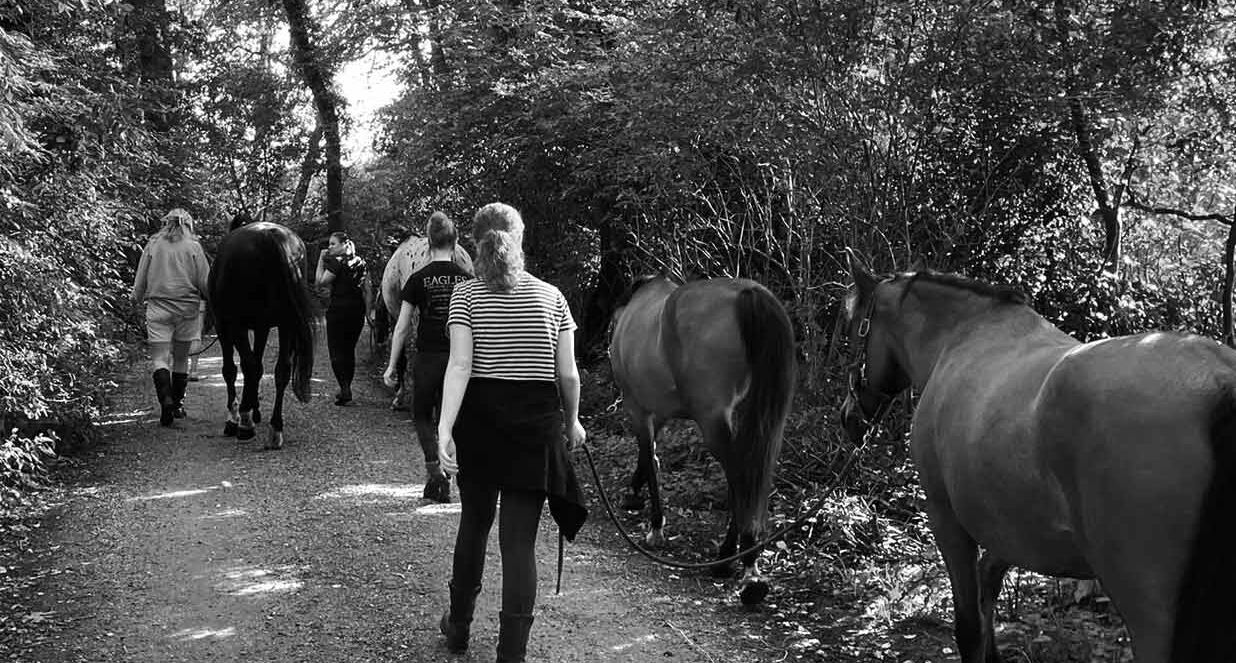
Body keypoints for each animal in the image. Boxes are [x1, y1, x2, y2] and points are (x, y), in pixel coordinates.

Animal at [208, 222, 316, 450]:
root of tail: (270, 236)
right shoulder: (262, 327)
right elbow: (257, 367)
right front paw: (254, 409)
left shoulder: (224, 326)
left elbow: (232, 370)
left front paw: (235, 417)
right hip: (286, 323)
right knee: (281, 370)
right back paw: (275, 428)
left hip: (236, 326)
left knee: (249, 366)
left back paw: (245, 424)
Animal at [605, 272, 795, 603]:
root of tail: (749, 293)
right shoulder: (660, 411)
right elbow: (650, 455)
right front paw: (634, 493)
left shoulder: (636, 407)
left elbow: (649, 456)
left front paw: (655, 526)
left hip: (712, 421)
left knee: (738, 473)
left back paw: (739, 562)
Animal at [840, 251, 1236, 658]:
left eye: (851, 328)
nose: (848, 418)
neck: (961, 338)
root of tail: (1219, 379)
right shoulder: (1011, 530)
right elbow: (987, 593)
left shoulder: (946, 518)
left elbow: (969, 625)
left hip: (1150, 617)